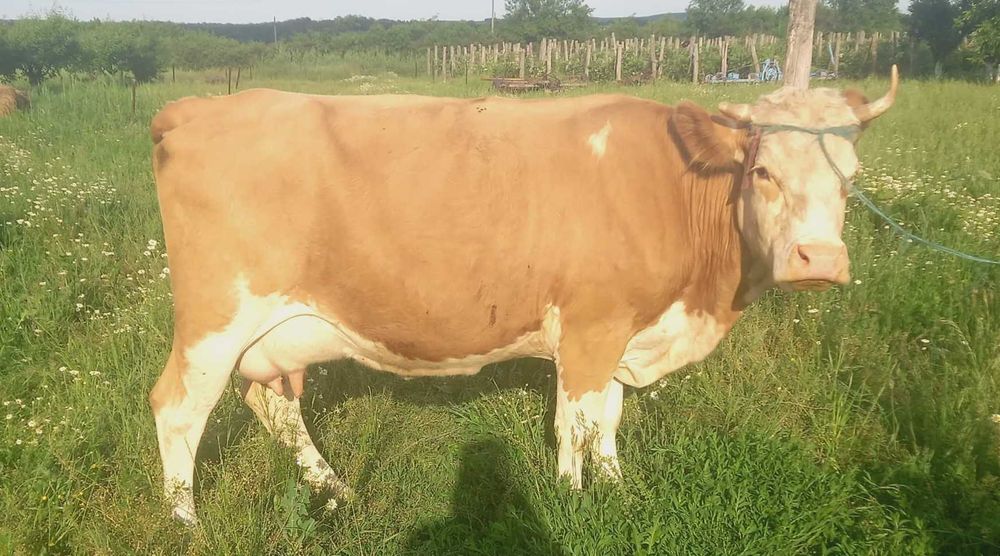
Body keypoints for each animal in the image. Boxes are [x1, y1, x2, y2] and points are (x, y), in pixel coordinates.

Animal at [149, 67, 899, 525]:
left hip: (277, 330)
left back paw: (334, 487)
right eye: (763, 169)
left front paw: (616, 488)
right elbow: (577, 421)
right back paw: (186, 522)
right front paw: (571, 499)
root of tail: (199, 108)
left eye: (852, 176)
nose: (819, 260)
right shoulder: (591, 326)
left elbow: (607, 417)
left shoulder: (617, 328)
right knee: (178, 408)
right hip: (216, 317)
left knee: (273, 405)